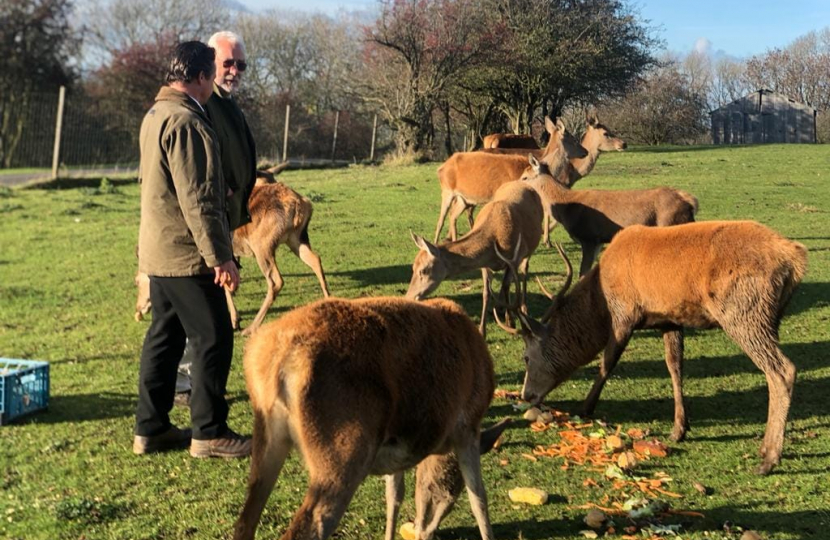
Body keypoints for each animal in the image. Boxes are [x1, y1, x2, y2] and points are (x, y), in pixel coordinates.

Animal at [232, 296, 500, 540]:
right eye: (451, 490)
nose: (424, 531)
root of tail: (280, 358)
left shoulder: (396, 444)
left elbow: (394, 495)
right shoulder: (468, 426)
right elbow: (479, 499)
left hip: (268, 437)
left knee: (244, 522)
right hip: (344, 449)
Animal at [432, 116, 588, 243]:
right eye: (573, 139)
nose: (586, 151)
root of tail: (441, 168)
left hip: (464, 198)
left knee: (453, 215)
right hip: (447, 191)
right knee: (441, 219)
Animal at [494, 219, 808, 472]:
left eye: (525, 357)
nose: (526, 394)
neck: (599, 302)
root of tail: (794, 260)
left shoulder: (624, 313)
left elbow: (607, 363)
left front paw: (585, 408)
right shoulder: (670, 319)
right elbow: (674, 366)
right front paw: (679, 428)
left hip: (743, 313)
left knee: (782, 370)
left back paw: (769, 457)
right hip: (771, 317)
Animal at [524, 154, 700, 276]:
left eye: (525, 176)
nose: (518, 182)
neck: (567, 208)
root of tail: (691, 202)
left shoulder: (588, 236)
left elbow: (582, 273)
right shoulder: (598, 241)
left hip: (670, 223)